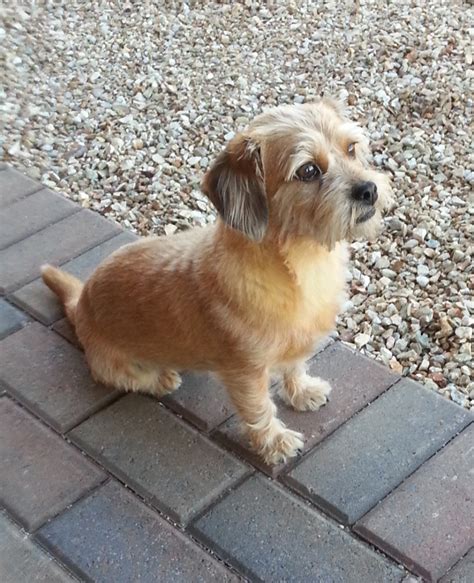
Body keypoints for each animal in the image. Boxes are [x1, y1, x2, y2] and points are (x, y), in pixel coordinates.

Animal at [42, 99, 392, 466]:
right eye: (308, 171)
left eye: (351, 148)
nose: (369, 189)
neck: (298, 264)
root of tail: (80, 304)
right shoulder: (245, 374)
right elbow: (259, 410)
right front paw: (275, 443)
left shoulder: (293, 346)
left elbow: (294, 367)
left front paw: (301, 391)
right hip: (118, 366)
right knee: (134, 378)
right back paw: (162, 377)